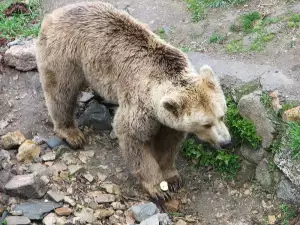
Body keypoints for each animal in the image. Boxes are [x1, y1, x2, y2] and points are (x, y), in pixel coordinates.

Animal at [36, 1, 231, 199]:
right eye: (206, 124)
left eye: (222, 115)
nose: (226, 142)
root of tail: (56, 13)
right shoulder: (140, 103)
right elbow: (132, 137)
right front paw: (158, 189)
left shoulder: (167, 117)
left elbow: (168, 142)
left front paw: (173, 178)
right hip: (66, 52)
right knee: (61, 91)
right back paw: (72, 133)